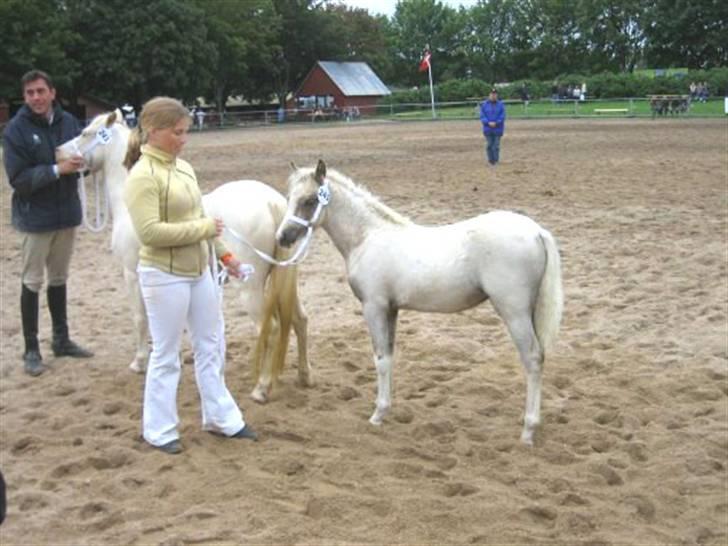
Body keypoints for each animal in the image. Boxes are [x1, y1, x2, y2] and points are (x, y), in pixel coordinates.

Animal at [54, 110, 310, 400]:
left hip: (250, 288)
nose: (59, 152)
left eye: (85, 132)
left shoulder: (132, 274)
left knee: (271, 329)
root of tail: (271, 202)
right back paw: (304, 376)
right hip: (284, 280)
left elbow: (140, 319)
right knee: (299, 320)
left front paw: (139, 362)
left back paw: (262, 387)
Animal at [276, 160, 564, 442]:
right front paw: (386, 409)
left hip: (514, 312)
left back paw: (528, 430)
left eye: (310, 200)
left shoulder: (374, 307)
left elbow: (380, 359)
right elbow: (389, 356)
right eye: (290, 198)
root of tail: (537, 232)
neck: (368, 237)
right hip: (529, 311)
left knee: (532, 358)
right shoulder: (391, 309)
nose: (282, 237)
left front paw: (377, 415)